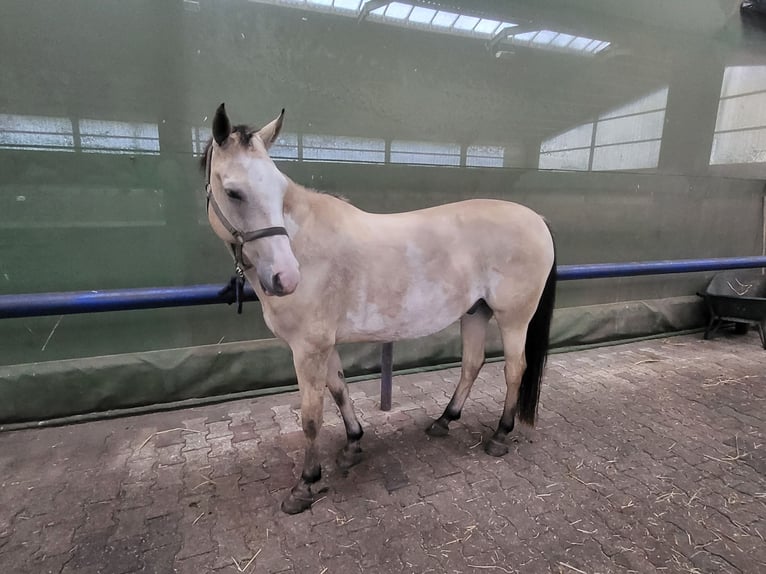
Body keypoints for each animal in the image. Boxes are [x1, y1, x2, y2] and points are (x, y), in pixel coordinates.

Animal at [201, 104, 557, 514]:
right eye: (233, 192)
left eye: (280, 189)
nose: (286, 278)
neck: (307, 244)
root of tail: (537, 219)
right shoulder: (324, 345)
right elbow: (340, 390)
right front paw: (352, 444)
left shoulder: (308, 348)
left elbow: (311, 416)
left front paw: (305, 484)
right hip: (476, 313)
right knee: (472, 364)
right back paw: (444, 420)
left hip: (514, 318)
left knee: (515, 369)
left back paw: (500, 435)